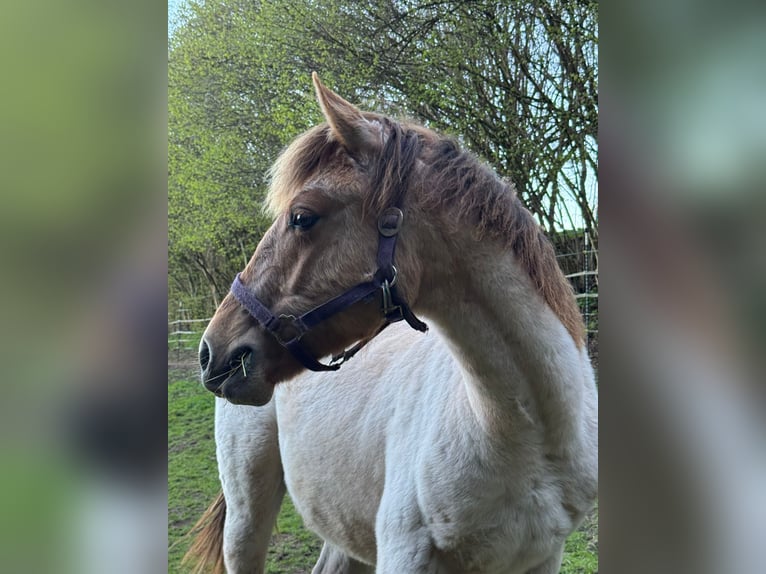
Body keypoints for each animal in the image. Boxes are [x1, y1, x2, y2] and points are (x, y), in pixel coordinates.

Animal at [184, 73, 598, 574]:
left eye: (303, 217)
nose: (213, 352)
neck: (527, 435)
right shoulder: (405, 553)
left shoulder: (542, 558)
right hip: (246, 517)